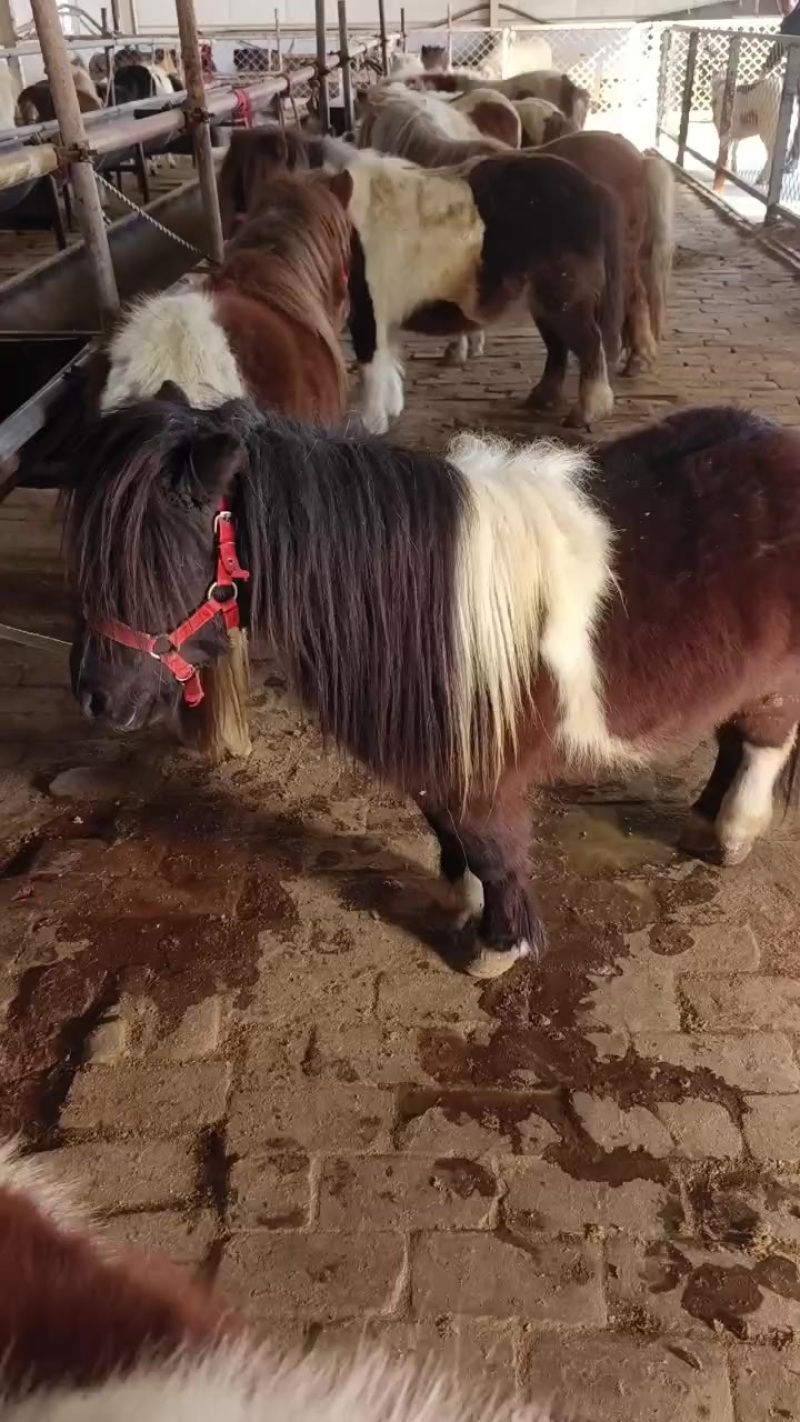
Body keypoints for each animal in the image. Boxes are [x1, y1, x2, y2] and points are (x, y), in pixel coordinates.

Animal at [68, 396, 800, 980]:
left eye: (156, 557)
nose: (95, 697)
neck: (424, 599)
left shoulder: (487, 769)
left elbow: (494, 848)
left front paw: (497, 948)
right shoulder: (440, 753)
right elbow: (443, 823)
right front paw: (457, 898)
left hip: (775, 686)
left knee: (762, 745)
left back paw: (732, 835)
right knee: (731, 741)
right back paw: (702, 825)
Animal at [343, 148, 624, 432]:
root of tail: (594, 189)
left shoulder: (366, 309)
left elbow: (369, 364)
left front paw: (370, 425)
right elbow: (387, 362)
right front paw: (390, 412)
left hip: (563, 294)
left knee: (589, 342)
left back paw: (583, 415)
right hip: (543, 301)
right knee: (559, 346)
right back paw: (539, 400)